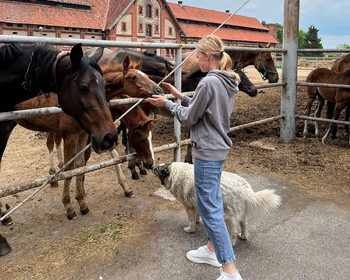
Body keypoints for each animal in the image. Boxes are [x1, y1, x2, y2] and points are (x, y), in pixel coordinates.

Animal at [153, 162, 282, 245]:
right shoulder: (196, 203)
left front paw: (190, 229)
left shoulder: (188, 206)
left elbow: (191, 220)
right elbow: (196, 215)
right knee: (244, 225)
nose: (152, 166)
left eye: (158, 170)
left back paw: (232, 243)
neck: (175, 174)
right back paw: (243, 237)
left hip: (227, 216)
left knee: (233, 232)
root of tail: (246, 190)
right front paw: (198, 221)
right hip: (240, 214)